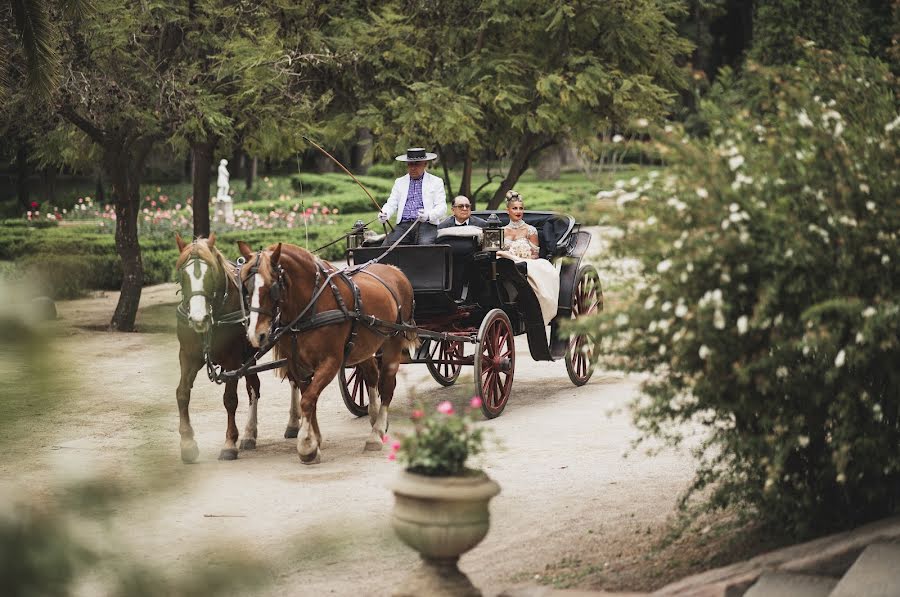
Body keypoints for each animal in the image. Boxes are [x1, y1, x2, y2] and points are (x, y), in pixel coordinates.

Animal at [174, 233, 300, 460]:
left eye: (210, 273)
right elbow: (182, 394)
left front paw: (229, 443)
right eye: (182, 274)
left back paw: (293, 422)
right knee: (254, 387)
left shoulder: (232, 360)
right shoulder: (188, 356)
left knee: (292, 378)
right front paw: (187, 443)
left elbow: (230, 399)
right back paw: (250, 433)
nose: (198, 318)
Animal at [239, 240, 422, 464]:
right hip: (363, 346)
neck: (310, 306)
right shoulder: (297, 364)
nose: (256, 335)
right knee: (371, 375)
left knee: (386, 385)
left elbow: (308, 400)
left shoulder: (331, 362)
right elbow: (309, 397)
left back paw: (376, 434)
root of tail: (395, 270)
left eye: (271, 288)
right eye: (245, 287)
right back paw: (373, 415)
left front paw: (307, 445)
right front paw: (315, 439)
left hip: (393, 342)